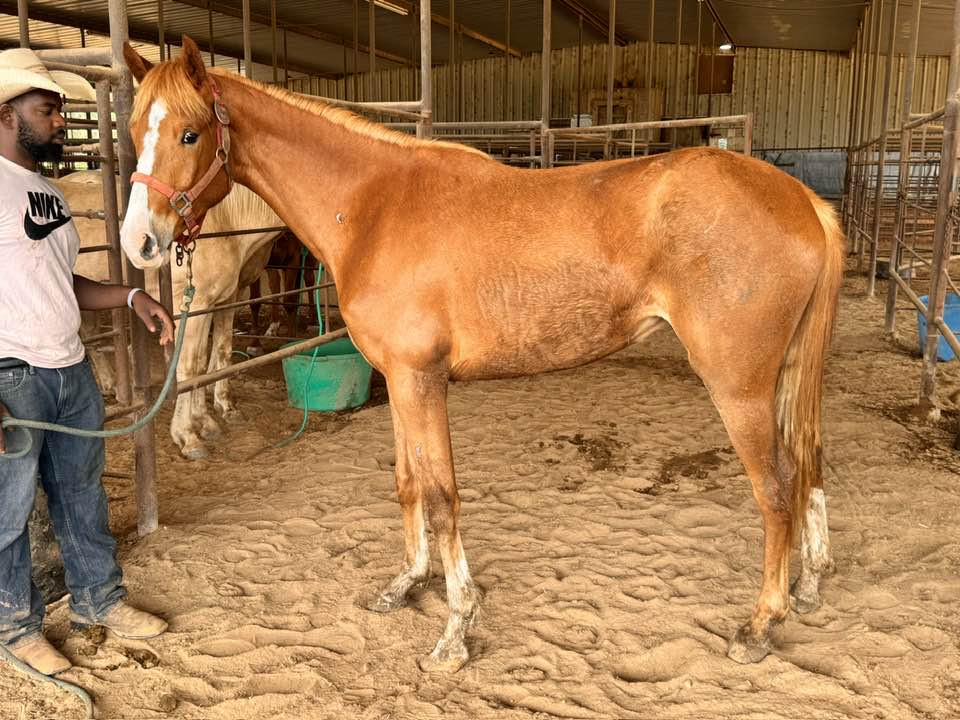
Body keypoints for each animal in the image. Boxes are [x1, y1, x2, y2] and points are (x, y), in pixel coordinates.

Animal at [60, 170, 285, 459]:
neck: (226, 221)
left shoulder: (219, 300)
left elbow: (211, 356)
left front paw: (210, 418)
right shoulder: (192, 306)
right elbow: (188, 367)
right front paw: (188, 436)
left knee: (90, 337)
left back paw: (110, 387)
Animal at [118, 37, 843, 673]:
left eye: (189, 134)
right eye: (131, 130)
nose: (139, 243)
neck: (374, 207)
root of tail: (800, 200)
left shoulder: (422, 380)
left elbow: (441, 496)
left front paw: (455, 631)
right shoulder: (399, 380)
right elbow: (408, 482)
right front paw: (406, 584)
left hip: (739, 387)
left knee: (777, 489)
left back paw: (761, 624)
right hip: (782, 380)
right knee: (808, 466)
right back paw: (809, 587)